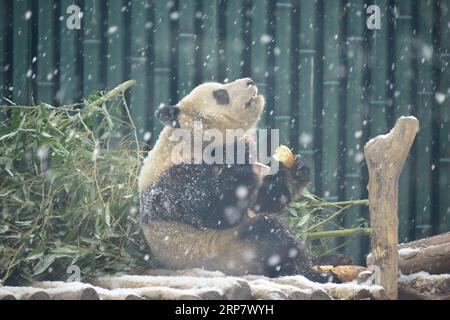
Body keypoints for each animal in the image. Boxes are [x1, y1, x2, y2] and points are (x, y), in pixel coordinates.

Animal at [139, 77, 332, 282]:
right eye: (221, 94)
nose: (250, 81)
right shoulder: (176, 179)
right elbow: (216, 209)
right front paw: (241, 150)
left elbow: (261, 202)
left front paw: (296, 169)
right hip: (227, 252)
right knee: (269, 233)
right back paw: (311, 272)